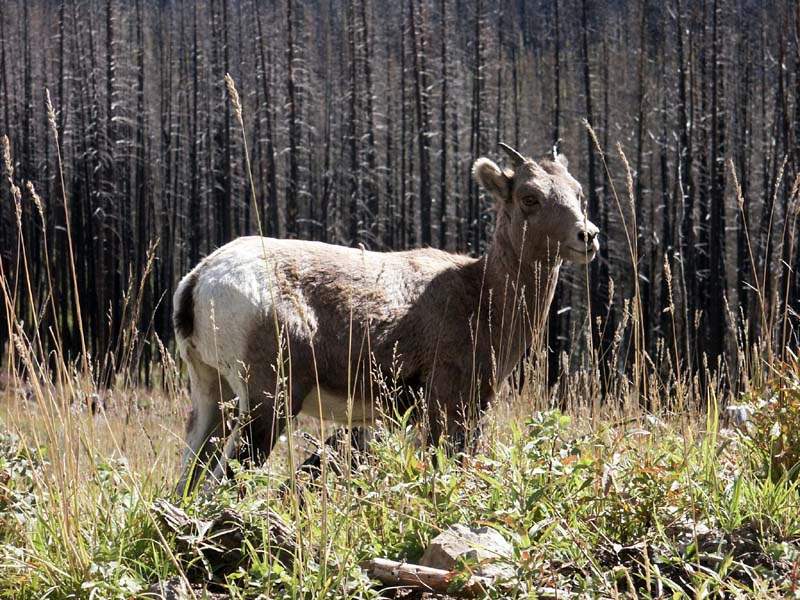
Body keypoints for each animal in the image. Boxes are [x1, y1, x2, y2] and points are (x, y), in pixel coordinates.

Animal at [175, 145, 600, 492]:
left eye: (578, 194)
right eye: (530, 197)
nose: (588, 235)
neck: (481, 296)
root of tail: (199, 279)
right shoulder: (447, 402)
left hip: (213, 395)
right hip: (269, 400)